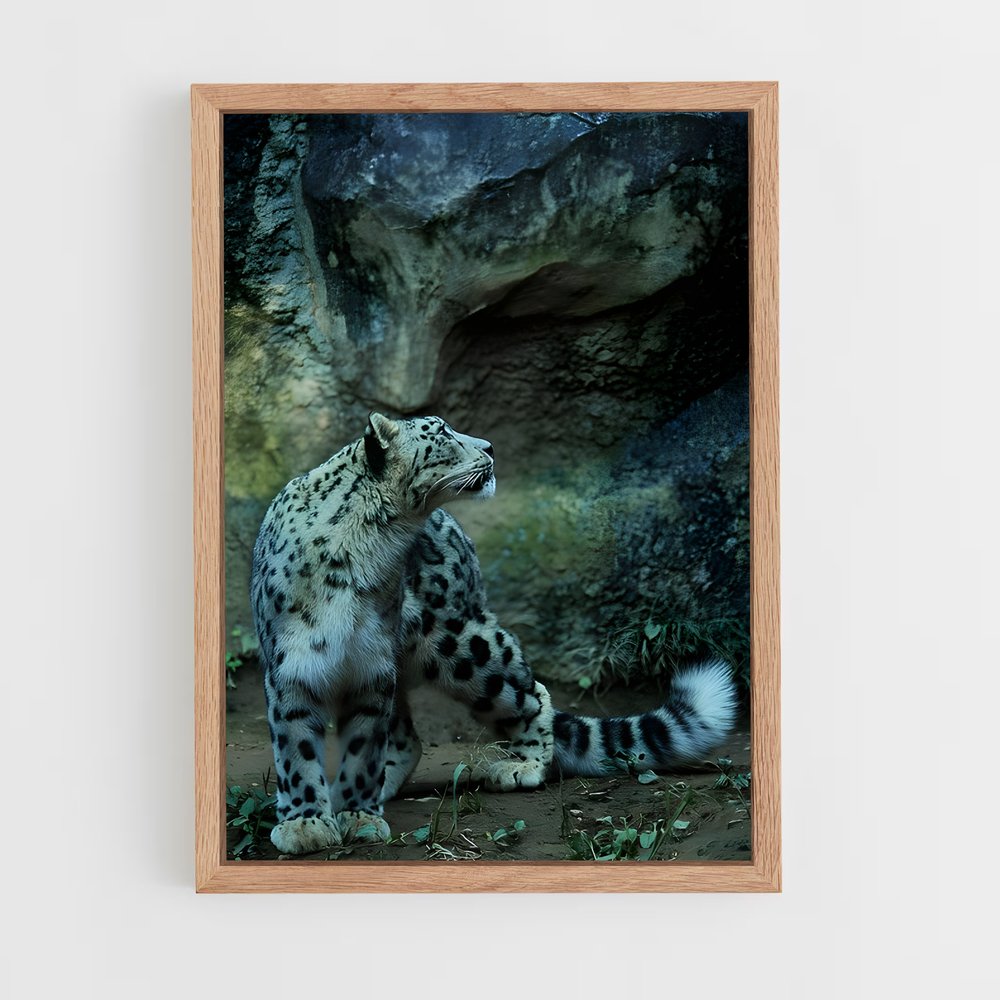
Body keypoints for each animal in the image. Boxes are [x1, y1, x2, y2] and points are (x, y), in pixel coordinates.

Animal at [250, 412, 738, 855]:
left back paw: (523, 765)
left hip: (460, 644)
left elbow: (363, 747)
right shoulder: (295, 665)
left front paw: (356, 815)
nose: (488, 446)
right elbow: (297, 749)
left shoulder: (370, 669)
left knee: (529, 691)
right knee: (407, 733)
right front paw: (307, 823)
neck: (367, 549)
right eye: (442, 433)